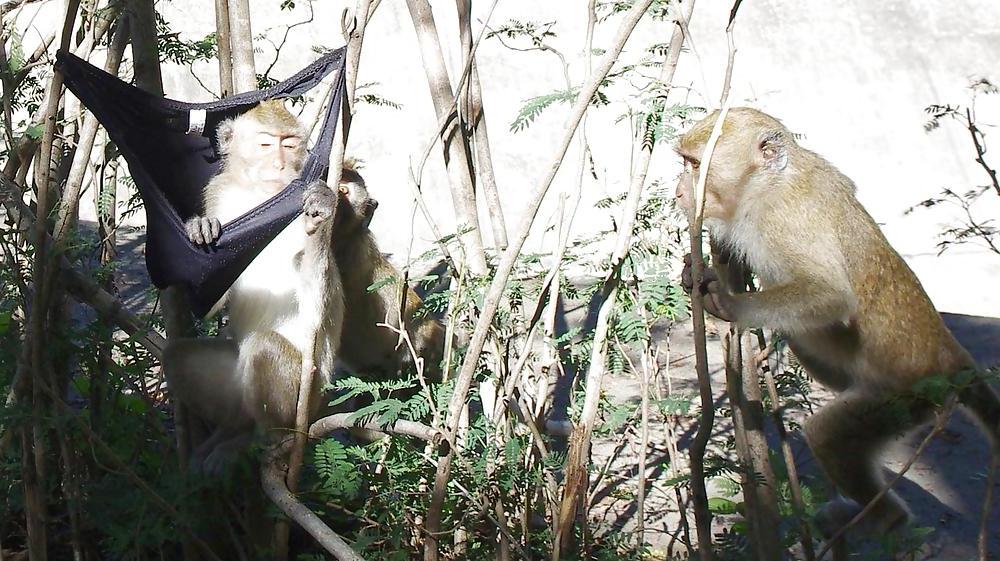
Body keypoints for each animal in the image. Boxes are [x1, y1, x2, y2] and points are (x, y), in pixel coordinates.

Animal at [163, 100, 344, 473]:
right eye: (265, 144)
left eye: (289, 144)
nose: (279, 165)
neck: (259, 196)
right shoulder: (218, 192)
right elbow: (214, 298)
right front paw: (199, 227)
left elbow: (317, 308)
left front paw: (320, 213)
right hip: (232, 388)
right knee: (178, 357)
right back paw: (231, 432)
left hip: (304, 396)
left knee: (264, 347)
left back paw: (265, 440)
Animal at [674, 107, 1000, 537]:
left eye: (695, 165)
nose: (679, 191)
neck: (765, 186)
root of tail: (952, 356)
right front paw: (701, 276)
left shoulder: (783, 218)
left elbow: (830, 295)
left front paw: (729, 305)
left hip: (906, 396)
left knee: (829, 434)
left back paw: (883, 521)